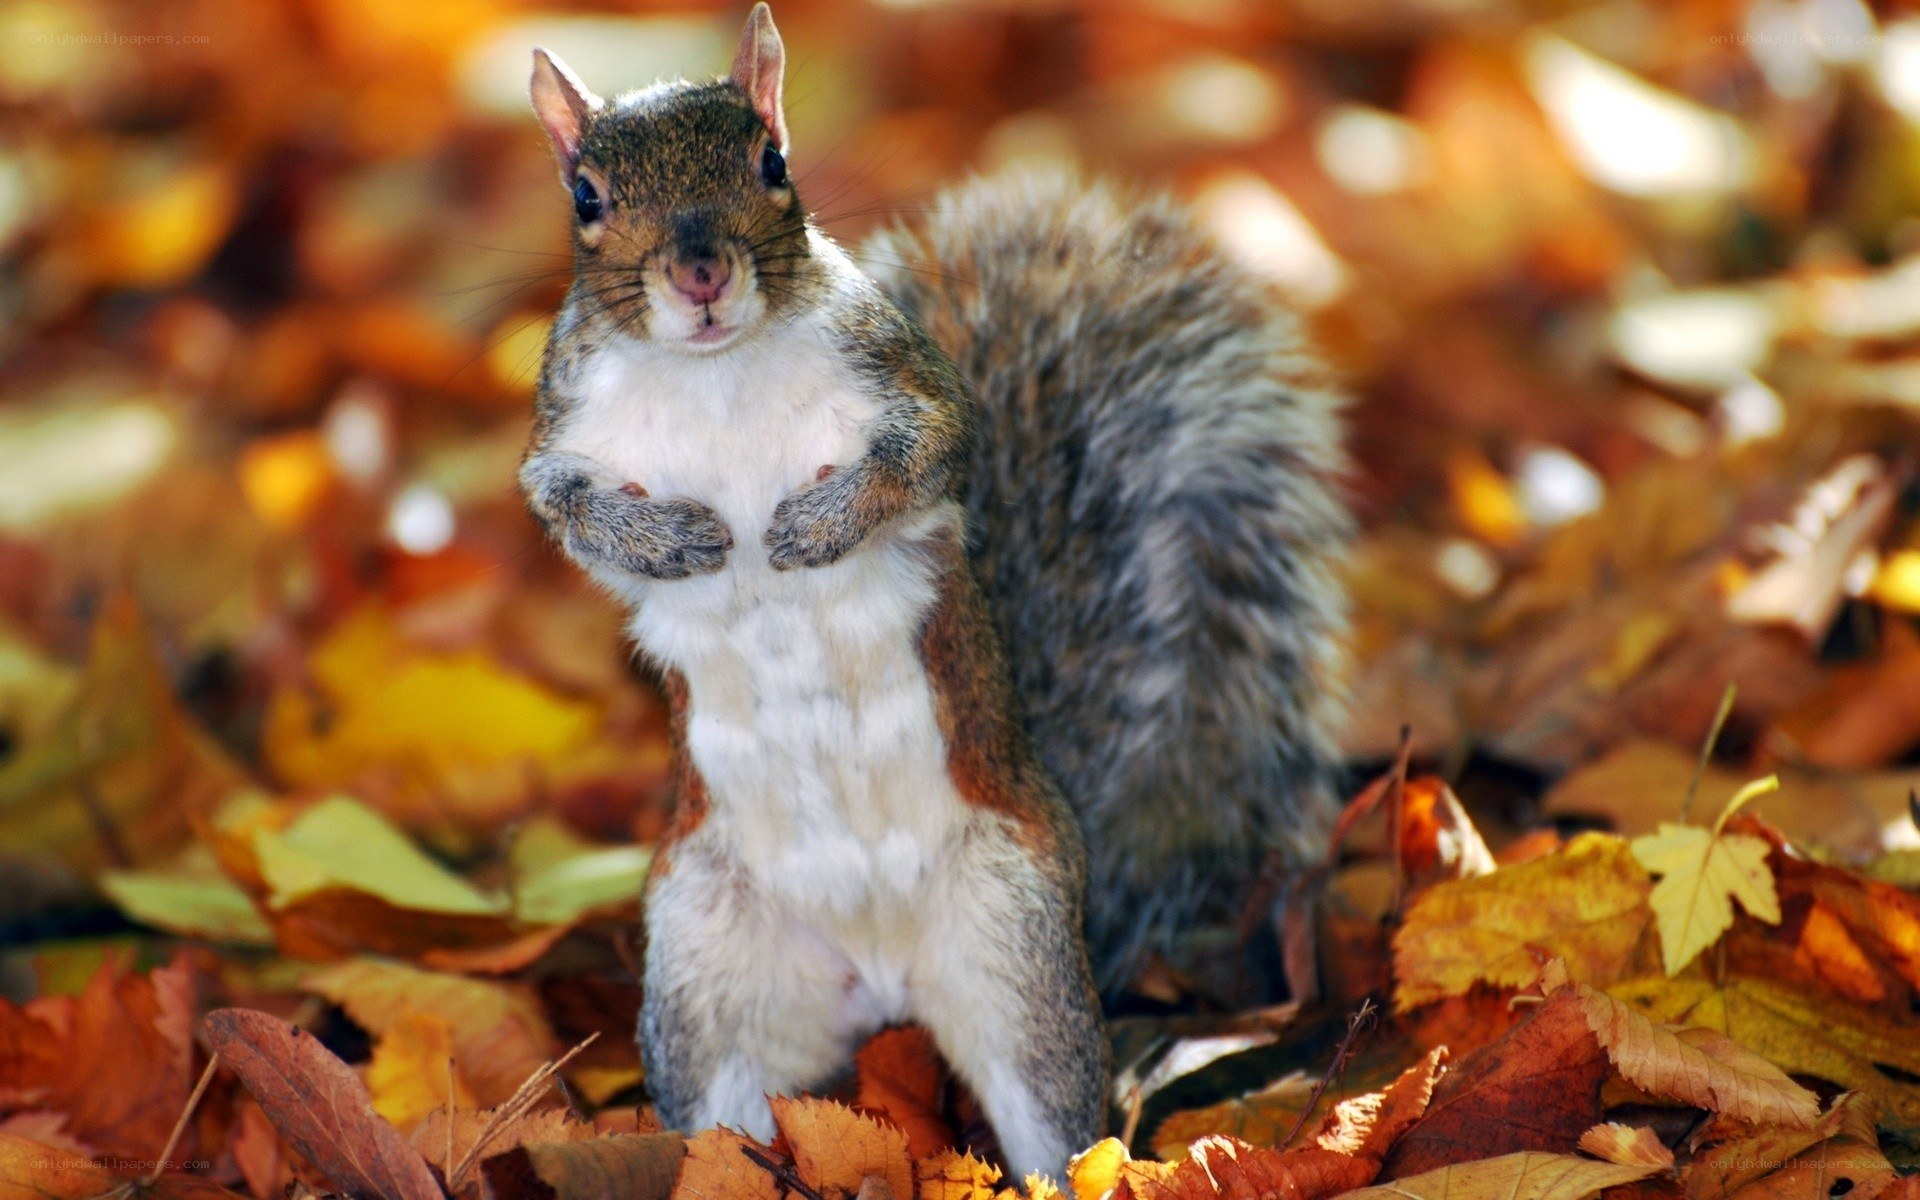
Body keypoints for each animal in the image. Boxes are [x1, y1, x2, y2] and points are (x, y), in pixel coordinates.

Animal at [519, 3, 1349, 1181]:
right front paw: (675, 540)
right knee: (722, 1118)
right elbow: (568, 513)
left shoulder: (909, 385)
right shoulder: (565, 441)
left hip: (1015, 943)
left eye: (772, 162)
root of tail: (881, 981)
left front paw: (813, 527)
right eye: (586, 197)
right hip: (701, 969)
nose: (700, 273)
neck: (718, 375)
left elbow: (926, 458)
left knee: (1054, 1109)